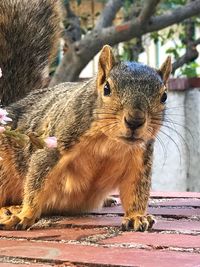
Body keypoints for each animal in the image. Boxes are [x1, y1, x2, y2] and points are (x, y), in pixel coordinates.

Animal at [0, 0, 172, 231]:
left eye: (164, 96)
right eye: (107, 88)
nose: (135, 120)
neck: (109, 142)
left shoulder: (139, 159)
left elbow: (137, 190)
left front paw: (137, 216)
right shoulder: (58, 142)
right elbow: (37, 179)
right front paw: (25, 214)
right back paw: (10, 209)